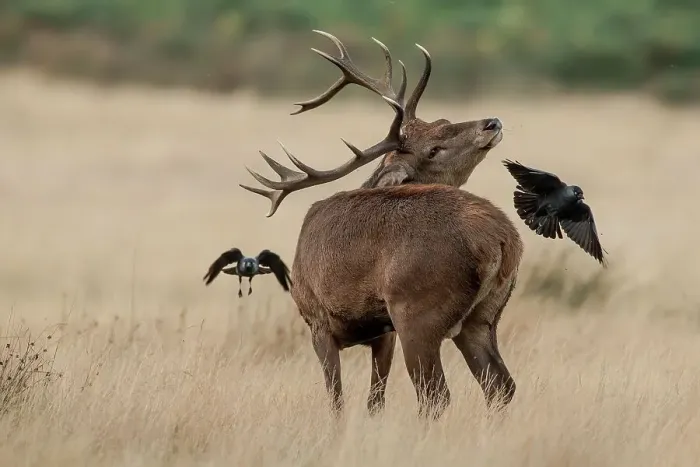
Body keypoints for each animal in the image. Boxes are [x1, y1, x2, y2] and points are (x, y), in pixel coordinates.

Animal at [239, 30, 524, 419]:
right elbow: (374, 401)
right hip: (484, 316)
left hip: (417, 309)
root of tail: (504, 240)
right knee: (500, 387)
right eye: (435, 142)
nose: (491, 122)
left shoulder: (317, 320)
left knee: (436, 395)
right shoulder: (381, 333)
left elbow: (337, 401)